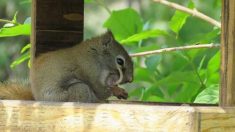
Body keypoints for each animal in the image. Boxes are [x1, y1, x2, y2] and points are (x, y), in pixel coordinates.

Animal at [0, 30, 133, 102]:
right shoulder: (89, 70)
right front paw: (117, 90)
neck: (95, 55)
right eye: (120, 61)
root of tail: (37, 98)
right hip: (78, 90)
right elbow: (100, 90)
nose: (130, 79)